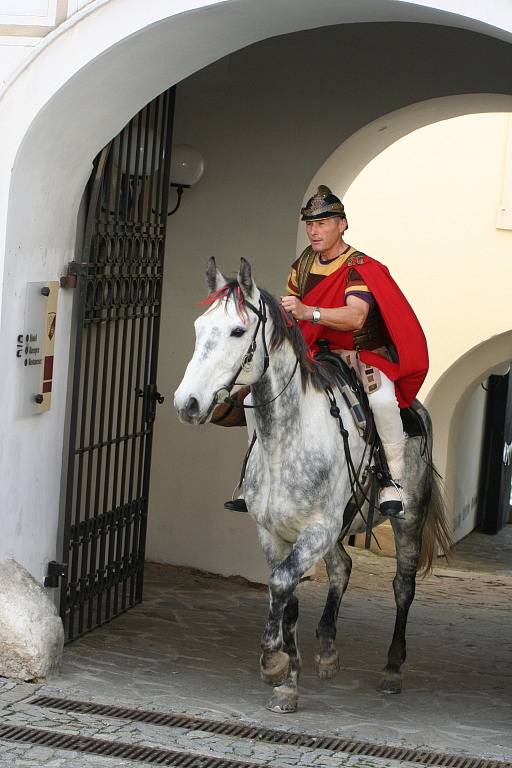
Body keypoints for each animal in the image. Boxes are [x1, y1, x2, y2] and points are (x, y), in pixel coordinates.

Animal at [174, 258, 450, 712]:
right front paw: (289, 676)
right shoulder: (274, 534)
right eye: (199, 328)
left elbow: (282, 585)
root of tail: (418, 410)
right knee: (342, 567)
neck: (285, 442)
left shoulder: (317, 530)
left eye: (237, 331)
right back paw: (327, 649)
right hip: (338, 528)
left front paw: (273, 661)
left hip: (406, 518)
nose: (188, 403)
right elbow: (286, 598)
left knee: (403, 586)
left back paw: (392, 668)